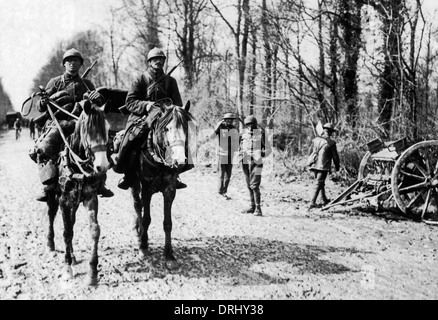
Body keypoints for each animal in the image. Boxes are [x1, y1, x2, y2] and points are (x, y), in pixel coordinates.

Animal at [45, 100, 111, 284]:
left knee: (72, 222)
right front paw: (67, 268)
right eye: (89, 130)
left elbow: (94, 230)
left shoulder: (91, 198)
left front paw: (92, 272)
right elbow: (66, 232)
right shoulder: (64, 201)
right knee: (51, 215)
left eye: (108, 129)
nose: (102, 166)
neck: (76, 167)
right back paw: (51, 245)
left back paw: (74, 256)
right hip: (53, 198)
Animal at [129, 100, 196, 270]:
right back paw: (139, 232)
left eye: (185, 127)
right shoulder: (147, 189)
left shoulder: (170, 190)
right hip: (134, 183)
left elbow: (168, 223)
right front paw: (143, 246)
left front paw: (169, 255)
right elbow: (147, 218)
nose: (179, 160)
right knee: (137, 205)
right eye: (166, 128)